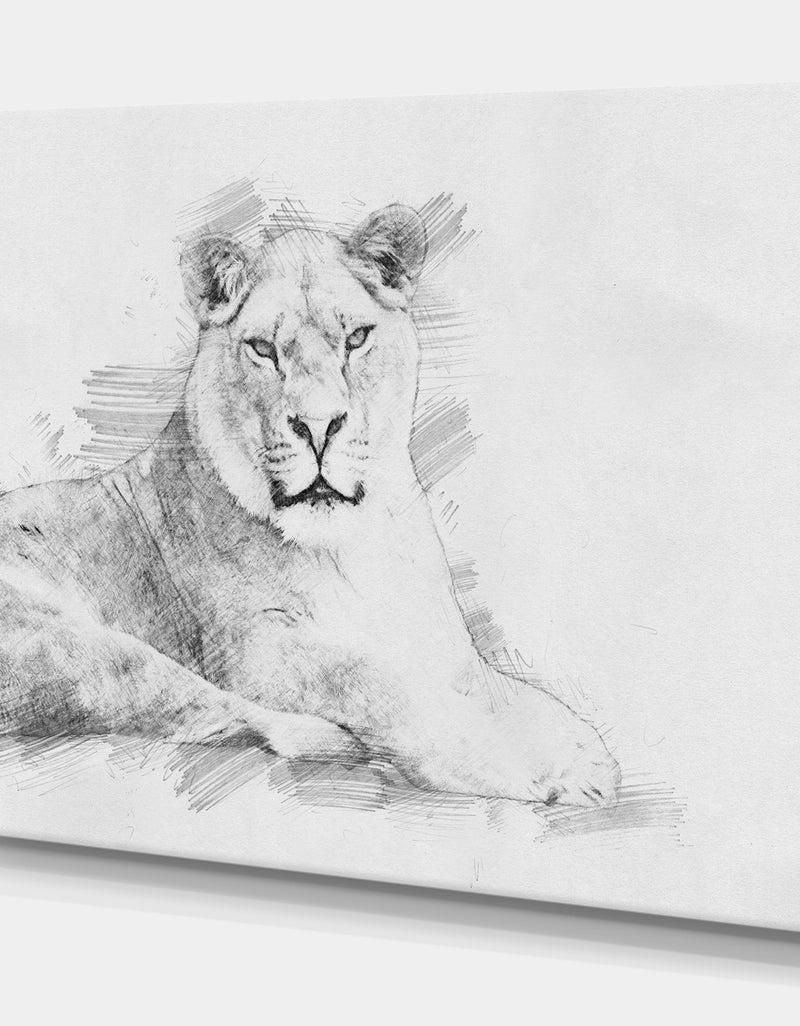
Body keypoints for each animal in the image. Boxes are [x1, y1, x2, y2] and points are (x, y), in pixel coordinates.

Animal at [0, 204, 620, 806]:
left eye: (357, 338)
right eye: (263, 349)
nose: (319, 426)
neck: (353, 543)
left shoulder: (441, 645)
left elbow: (491, 686)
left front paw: (571, 741)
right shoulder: (252, 649)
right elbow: (371, 678)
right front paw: (543, 765)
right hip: (72, 642)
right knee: (207, 707)